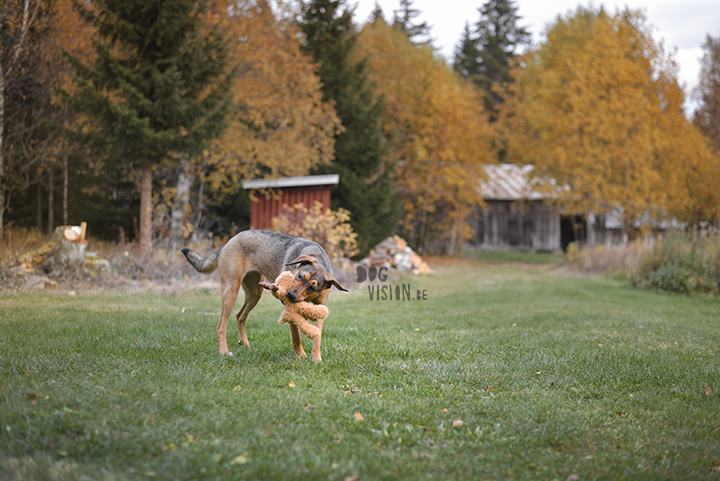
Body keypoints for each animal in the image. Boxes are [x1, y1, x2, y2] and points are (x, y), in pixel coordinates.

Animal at [181, 229, 348, 360]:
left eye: (312, 287)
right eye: (300, 276)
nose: (290, 296)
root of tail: (231, 239)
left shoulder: (320, 307)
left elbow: (317, 339)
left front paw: (316, 359)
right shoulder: (291, 311)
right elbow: (297, 338)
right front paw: (302, 357)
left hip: (255, 292)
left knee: (240, 316)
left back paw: (245, 344)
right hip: (231, 290)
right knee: (221, 326)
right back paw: (224, 352)